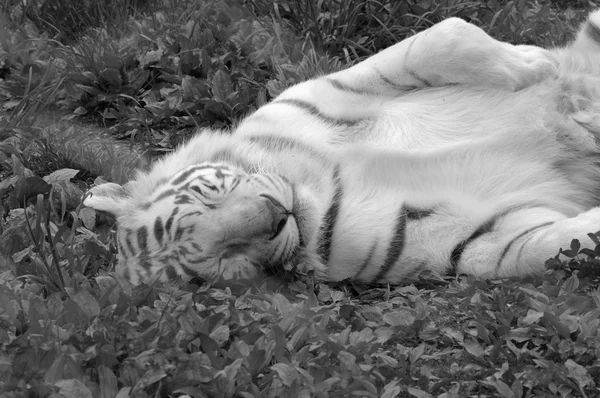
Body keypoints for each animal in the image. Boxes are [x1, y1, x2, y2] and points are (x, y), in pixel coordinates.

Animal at [82, 10, 600, 286]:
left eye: (210, 196)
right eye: (224, 257)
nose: (276, 216)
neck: (318, 183)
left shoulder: (332, 90)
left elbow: (440, 38)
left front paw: (533, 64)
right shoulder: (469, 241)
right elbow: (549, 245)